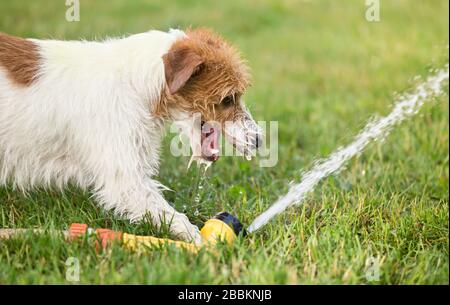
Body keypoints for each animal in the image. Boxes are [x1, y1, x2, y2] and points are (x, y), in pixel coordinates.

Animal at [0, 27, 262, 242]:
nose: (259, 140)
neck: (135, 85)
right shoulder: (125, 180)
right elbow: (171, 214)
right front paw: (199, 243)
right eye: (228, 99)